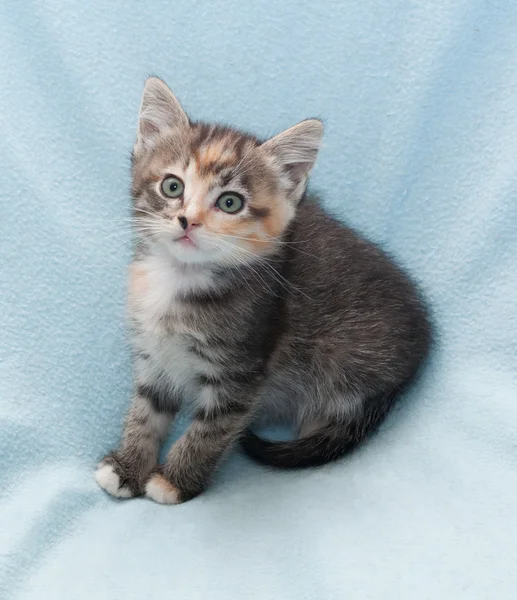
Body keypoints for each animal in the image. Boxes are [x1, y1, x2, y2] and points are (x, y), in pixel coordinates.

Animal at [94, 77, 430, 504]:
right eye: (172, 186)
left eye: (230, 202)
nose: (188, 221)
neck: (180, 278)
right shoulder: (154, 355)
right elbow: (145, 411)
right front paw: (127, 467)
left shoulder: (242, 370)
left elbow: (210, 431)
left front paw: (174, 481)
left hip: (349, 367)